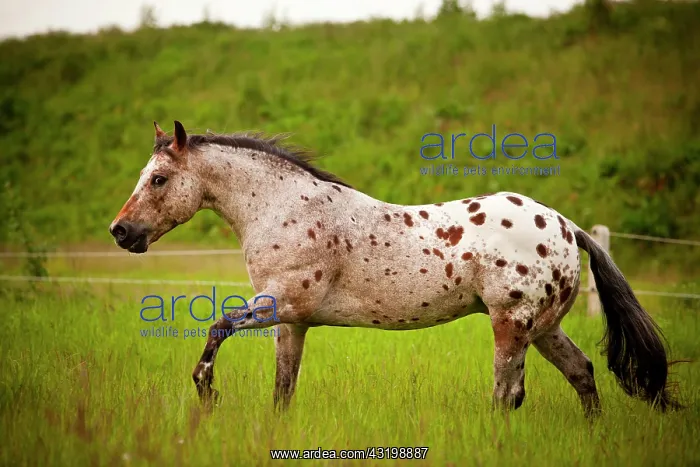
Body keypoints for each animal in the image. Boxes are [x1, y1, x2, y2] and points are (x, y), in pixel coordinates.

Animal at [109, 121, 679, 417]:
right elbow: (282, 389)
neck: (282, 207)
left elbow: (217, 327)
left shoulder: (281, 304)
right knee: (580, 373)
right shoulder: (293, 322)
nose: (121, 232)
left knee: (507, 394)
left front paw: (207, 393)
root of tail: (565, 226)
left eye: (158, 179)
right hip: (543, 327)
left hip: (511, 326)